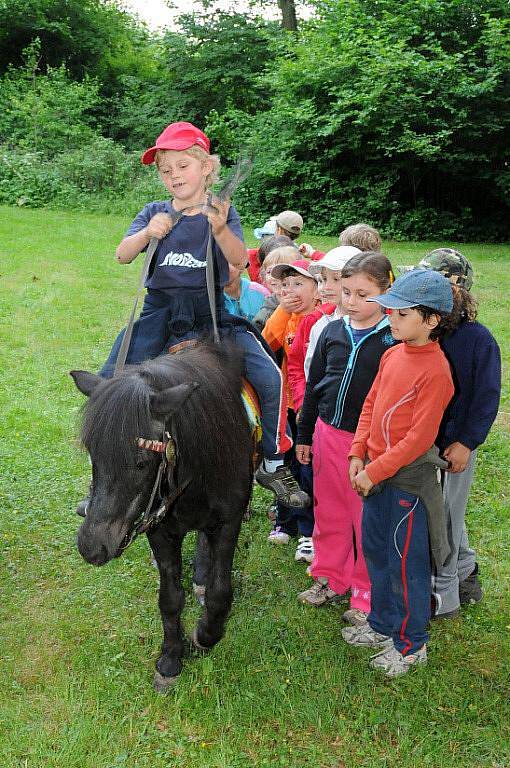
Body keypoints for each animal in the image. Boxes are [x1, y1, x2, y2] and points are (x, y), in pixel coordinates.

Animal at [70, 342, 254, 688]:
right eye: (93, 455)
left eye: (142, 462)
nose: (92, 546)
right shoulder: (160, 530)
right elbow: (169, 598)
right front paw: (170, 658)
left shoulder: (228, 523)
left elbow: (220, 591)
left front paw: (205, 635)